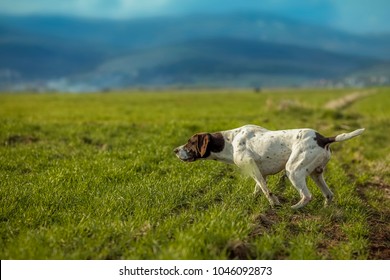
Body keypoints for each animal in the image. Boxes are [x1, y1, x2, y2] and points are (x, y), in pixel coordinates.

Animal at [172, 126, 364, 209]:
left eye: (190, 143)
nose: (175, 150)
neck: (229, 143)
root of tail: (323, 138)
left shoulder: (251, 166)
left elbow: (266, 190)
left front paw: (274, 203)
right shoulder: (259, 172)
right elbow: (259, 188)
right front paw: (252, 199)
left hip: (293, 171)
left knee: (307, 196)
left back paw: (293, 209)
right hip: (316, 174)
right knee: (329, 195)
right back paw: (326, 209)